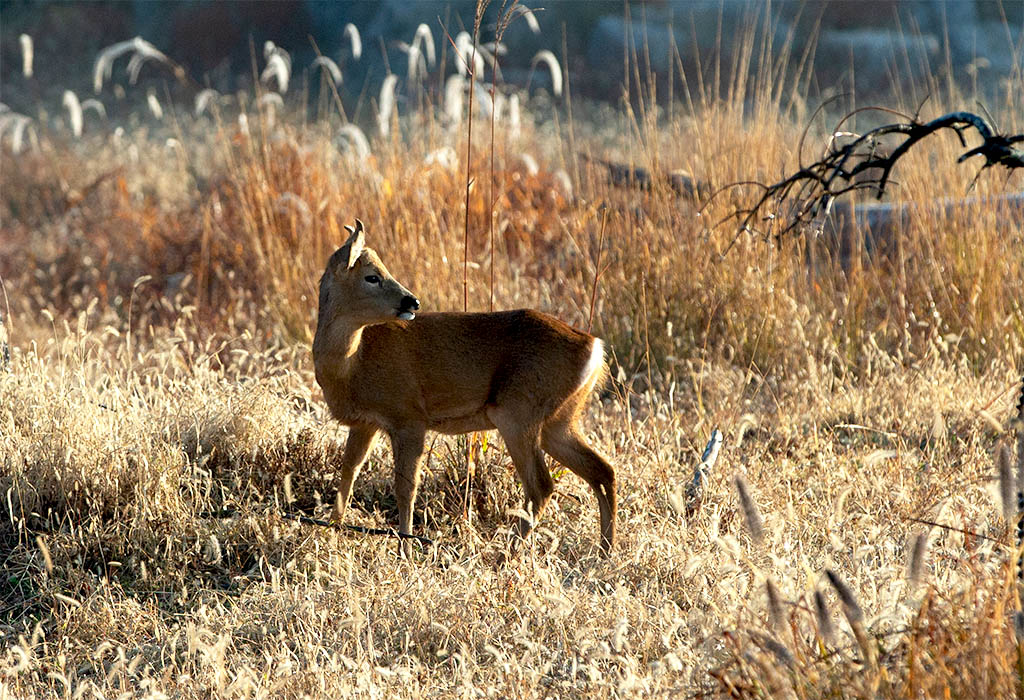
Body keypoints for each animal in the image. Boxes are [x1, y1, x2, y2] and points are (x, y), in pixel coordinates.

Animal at [311, 221, 614, 556]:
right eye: (372, 277)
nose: (412, 302)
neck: (354, 361)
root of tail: (594, 348)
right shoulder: (366, 423)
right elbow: (348, 471)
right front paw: (332, 529)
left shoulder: (409, 417)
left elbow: (405, 486)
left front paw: (406, 546)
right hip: (558, 421)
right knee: (602, 470)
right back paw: (606, 551)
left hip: (517, 413)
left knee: (542, 486)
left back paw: (505, 555)